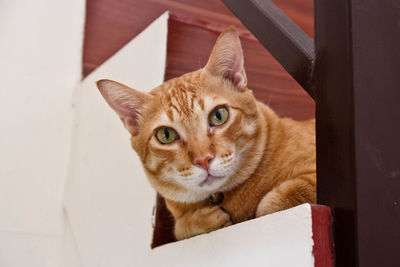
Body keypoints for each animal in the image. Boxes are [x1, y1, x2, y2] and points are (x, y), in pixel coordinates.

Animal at [96, 26, 316, 241]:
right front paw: (202, 220)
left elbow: (274, 202)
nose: (203, 159)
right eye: (166, 135)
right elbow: (180, 228)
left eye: (218, 115)